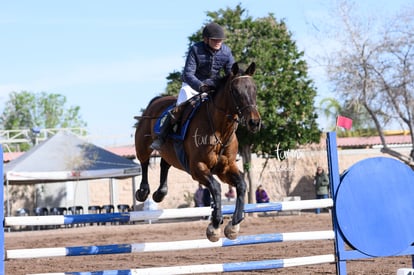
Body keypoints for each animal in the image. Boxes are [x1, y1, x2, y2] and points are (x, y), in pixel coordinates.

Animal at [134, 62, 260, 242]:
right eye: (235, 91)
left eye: (254, 89)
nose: (254, 122)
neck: (220, 130)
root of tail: (157, 100)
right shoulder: (198, 168)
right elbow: (216, 187)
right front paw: (215, 225)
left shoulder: (225, 168)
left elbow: (241, 184)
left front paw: (234, 224)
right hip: (143, 145)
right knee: (144, 162)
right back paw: (143, 192)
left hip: (170, 153)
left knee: (165, 164)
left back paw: (160, 193)